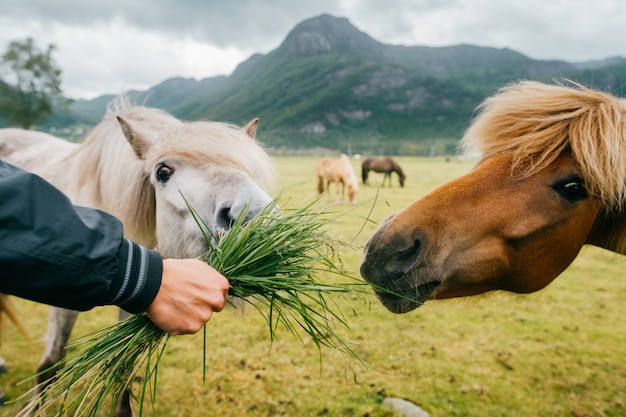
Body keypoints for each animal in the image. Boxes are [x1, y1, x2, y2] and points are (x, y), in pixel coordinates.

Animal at [0, 98, 272, 416]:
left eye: (249, 168)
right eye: (163, 172)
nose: (255, 216)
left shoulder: (144, 295)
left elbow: (125, 369)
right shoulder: (64, 300)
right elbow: (49, 366)